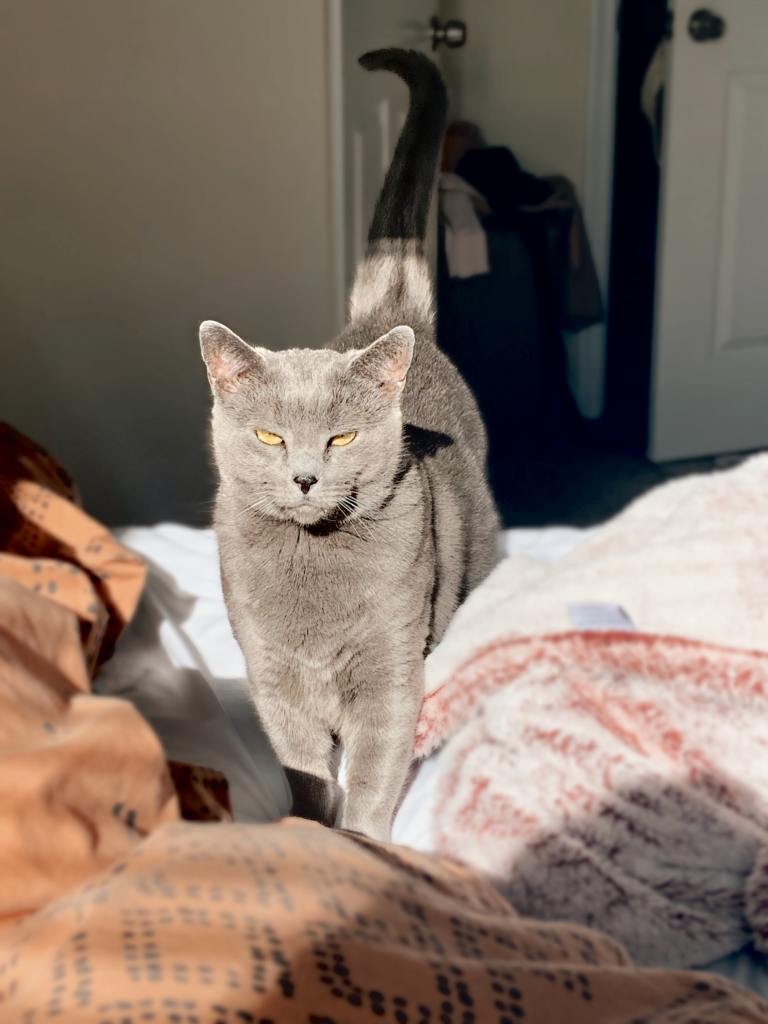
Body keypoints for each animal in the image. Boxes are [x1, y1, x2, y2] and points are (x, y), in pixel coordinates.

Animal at [199, 49, 499, 839]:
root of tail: (389, 318)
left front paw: (362, 844)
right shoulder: (271, 673)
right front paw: (308, 828)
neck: (314, 564)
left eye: (342, 436)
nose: (305, 477)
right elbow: (303, 768)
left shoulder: (392, 666)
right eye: (270, 435)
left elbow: (372, 771)